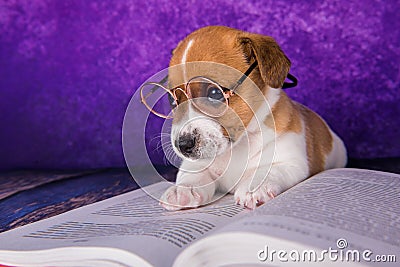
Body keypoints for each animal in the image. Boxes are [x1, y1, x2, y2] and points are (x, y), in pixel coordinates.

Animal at [156, 26, 346, 211]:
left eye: (214, 93)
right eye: (172, 100)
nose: (183, 145)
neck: (238, 147)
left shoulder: (289, 162)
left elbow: (266, 171)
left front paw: (254, 187)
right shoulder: (197, 164)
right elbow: (192, 174)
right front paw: (183, 189)